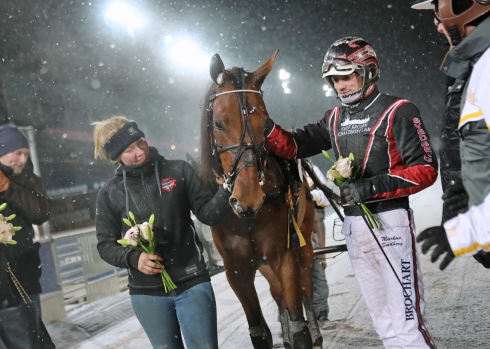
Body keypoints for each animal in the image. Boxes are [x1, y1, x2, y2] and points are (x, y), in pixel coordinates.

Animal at [198, 51, 322, 348]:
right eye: (218, 123)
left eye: (266, 125)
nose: (248, 198)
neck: (247, 219)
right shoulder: (236, 270)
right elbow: (258, 332)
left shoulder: (284, 254)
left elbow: (298, 321)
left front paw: (301, 333)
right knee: (276, 293)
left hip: (303, 242)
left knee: (305, 287)